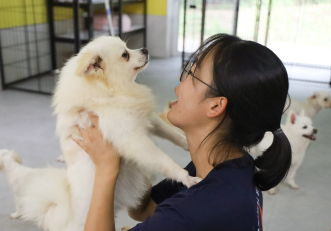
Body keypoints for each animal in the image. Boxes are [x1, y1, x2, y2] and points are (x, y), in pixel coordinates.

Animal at [6, 36, 200, 231]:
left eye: (128, 47)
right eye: (125, 55)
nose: (145, 49)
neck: (108, 93)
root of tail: (65, 215)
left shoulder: (146, 118)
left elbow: (170, 132)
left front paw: (186, 143)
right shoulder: (132, 139)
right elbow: (163, 161)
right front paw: (186, 178)